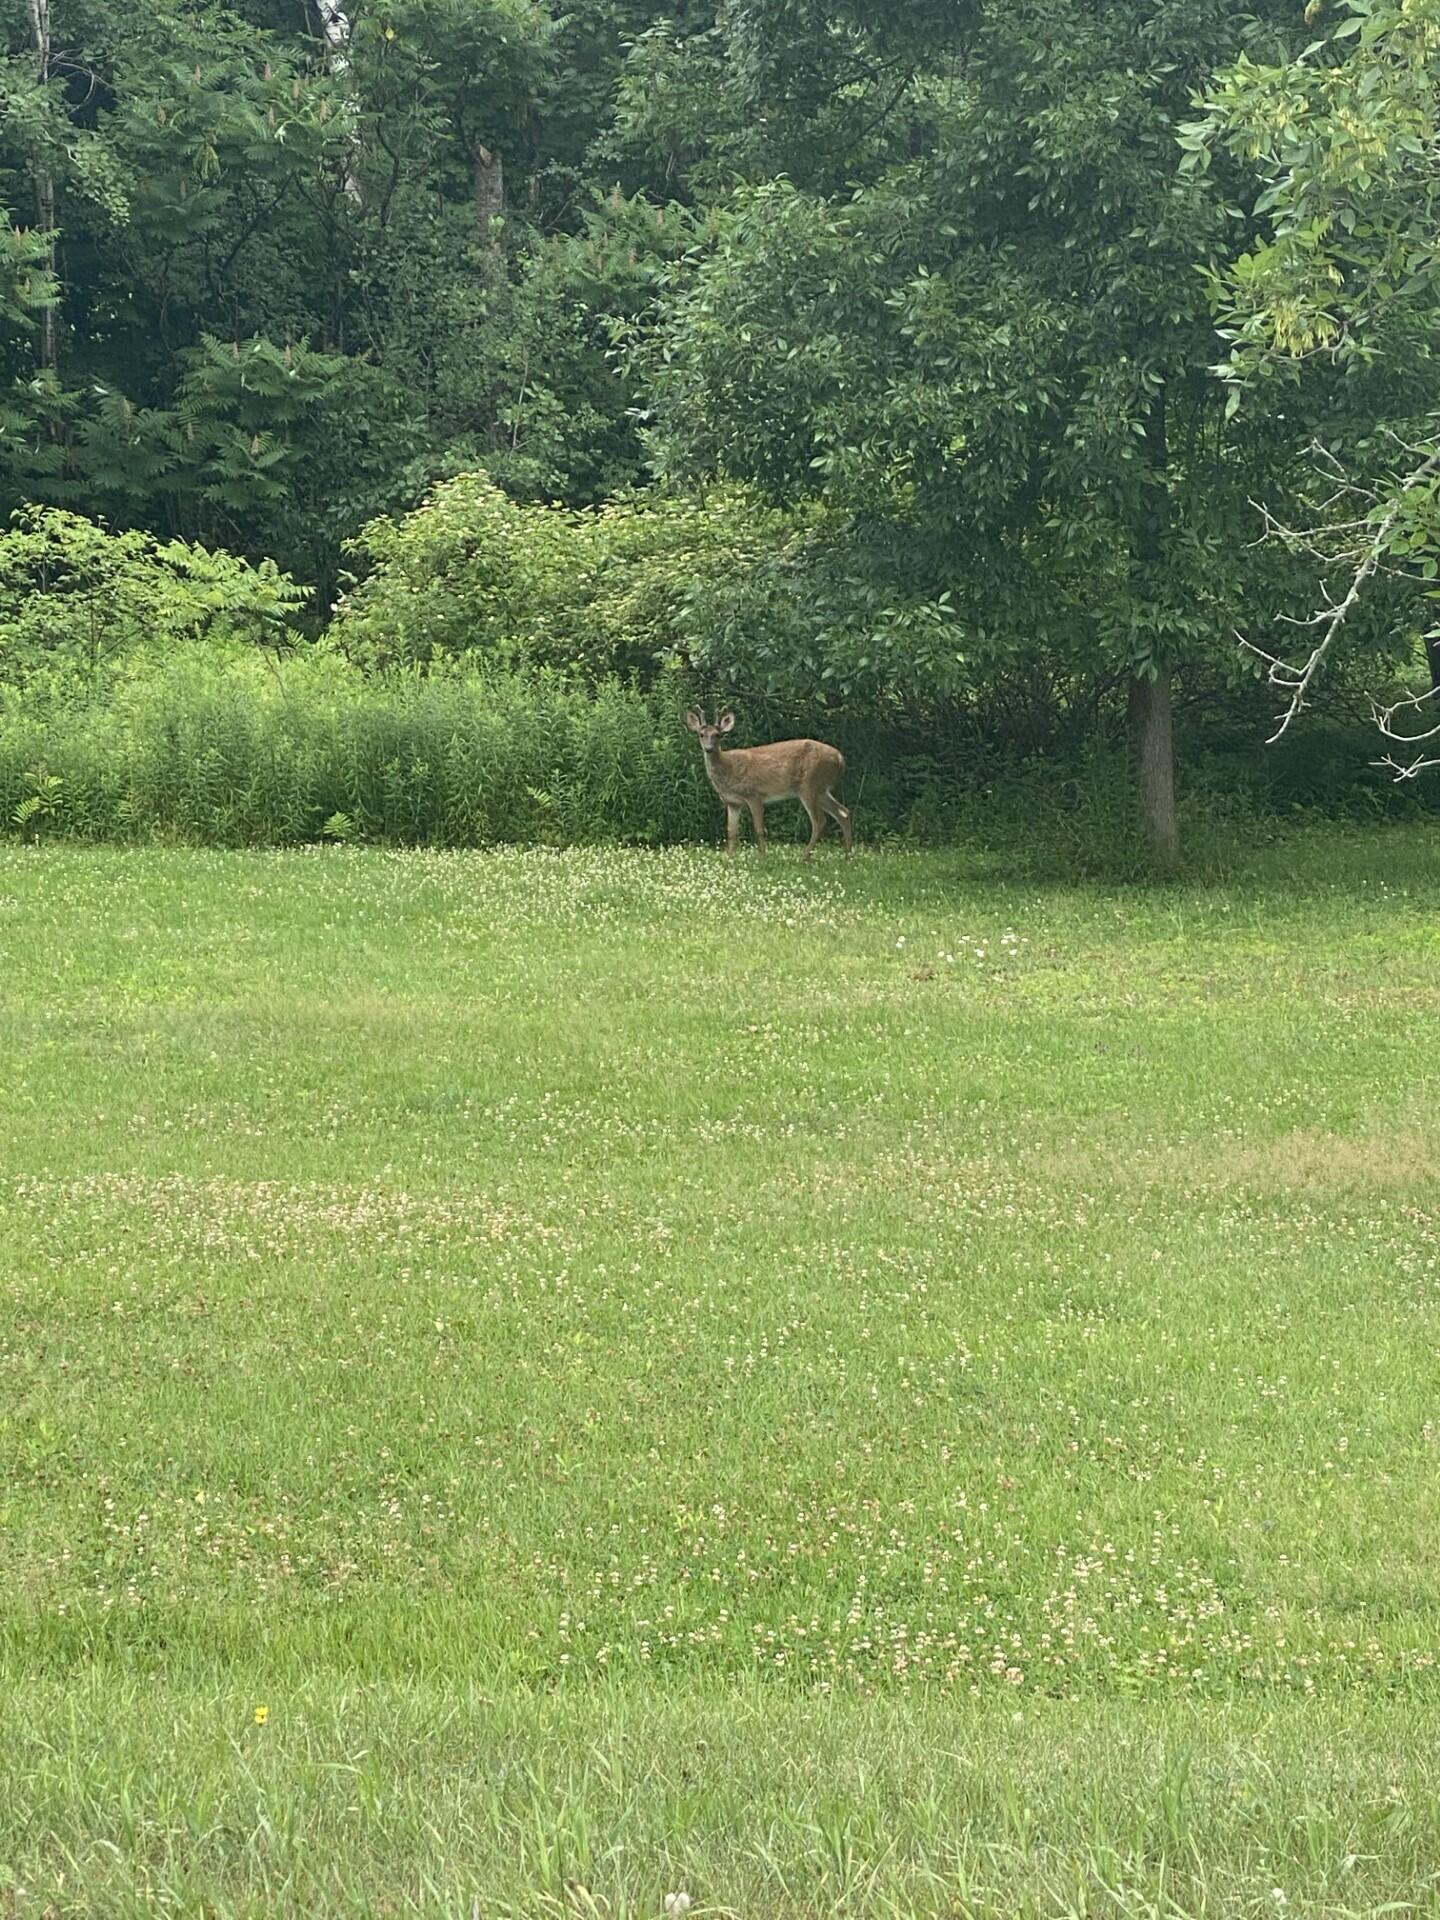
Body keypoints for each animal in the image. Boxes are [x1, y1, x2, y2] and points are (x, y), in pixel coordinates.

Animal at [685, 708, 853, 857]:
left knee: (819, 821)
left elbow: (759, 829)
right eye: (701, 734)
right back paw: (847, 855)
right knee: (843, 812)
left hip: (809, 784)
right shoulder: (733, 802)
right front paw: (729, 858)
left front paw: (763, 857)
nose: (709, 748)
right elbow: (731, 831)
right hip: (821, 789)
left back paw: (804, 856)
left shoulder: (754, 794)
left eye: (718, 735)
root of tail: (840, 758)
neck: (728, 768)